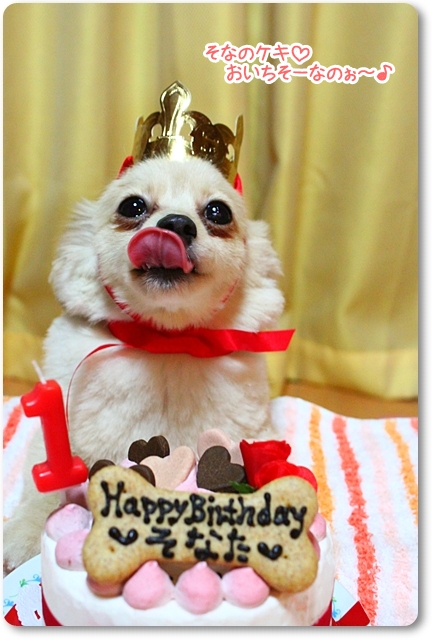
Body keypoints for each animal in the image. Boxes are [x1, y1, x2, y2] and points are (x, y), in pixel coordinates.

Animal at [4, 130, 287, 571]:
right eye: (132, 206)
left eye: (218, 212)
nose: (176, 224)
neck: (165, 342)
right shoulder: (63, 433)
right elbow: (44, 485)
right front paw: (25, 533)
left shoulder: (253, 434)